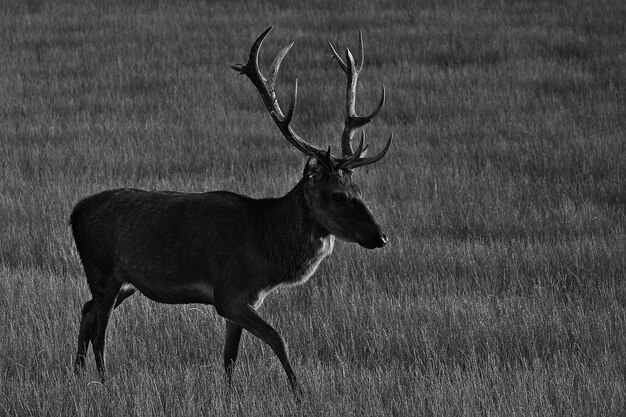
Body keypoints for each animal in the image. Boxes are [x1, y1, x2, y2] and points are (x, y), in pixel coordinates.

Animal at [70, 26, 392, 396]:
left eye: (359, 191)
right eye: (338, 195)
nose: (380, 236)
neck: (265, 247)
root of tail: (74, 212)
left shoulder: (244, 300)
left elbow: (230, 358)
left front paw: (228, 395)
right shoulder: (230, 293)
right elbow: (278, 339)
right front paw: (299, 393)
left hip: (125, 281)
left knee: (86, 311)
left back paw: (76, 373)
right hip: (101, 270)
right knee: (100, 332)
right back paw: (102, 380)